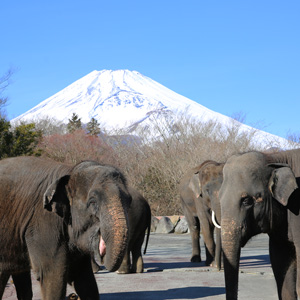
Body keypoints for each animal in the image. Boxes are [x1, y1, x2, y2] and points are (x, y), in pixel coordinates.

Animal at [0, 157, 131, 300]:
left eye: (129, 200)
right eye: (92, 202)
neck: (69, 170)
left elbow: (84, 279)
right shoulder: (43, 222)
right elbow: (51, 274)